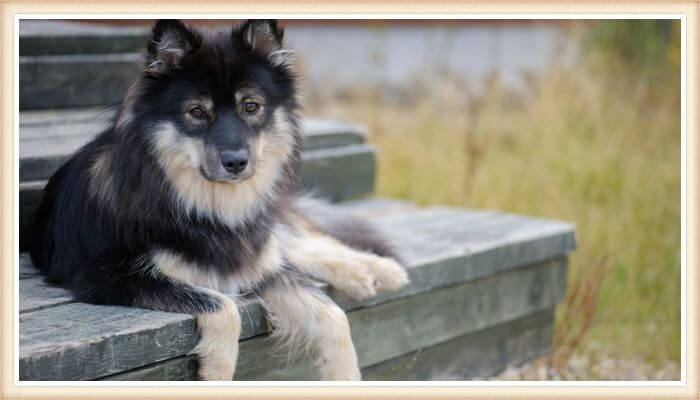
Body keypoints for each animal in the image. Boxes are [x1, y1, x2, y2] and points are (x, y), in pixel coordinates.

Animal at [28, 19, 410, 382]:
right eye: (197, 112)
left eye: (251, 106)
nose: (236, 162)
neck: (207, 207)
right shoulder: (110, 276)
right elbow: (224, 305)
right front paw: (216, 371)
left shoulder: (258, 264)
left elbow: (333, 316)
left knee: (303, 241)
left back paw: (376, 269)